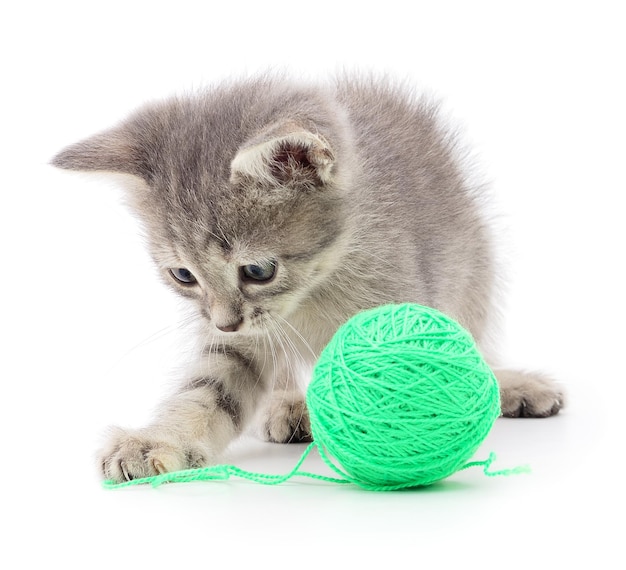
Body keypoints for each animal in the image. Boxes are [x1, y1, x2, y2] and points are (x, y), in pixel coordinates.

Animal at [52, 71, 560, 480]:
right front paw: (158, 441)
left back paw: (509, 385)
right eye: (183, 275)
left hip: (474, 265)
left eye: (258, 270)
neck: (312, 295)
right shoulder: (242, 342)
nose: (224, 323)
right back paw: (292, 405)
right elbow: (210, 389)